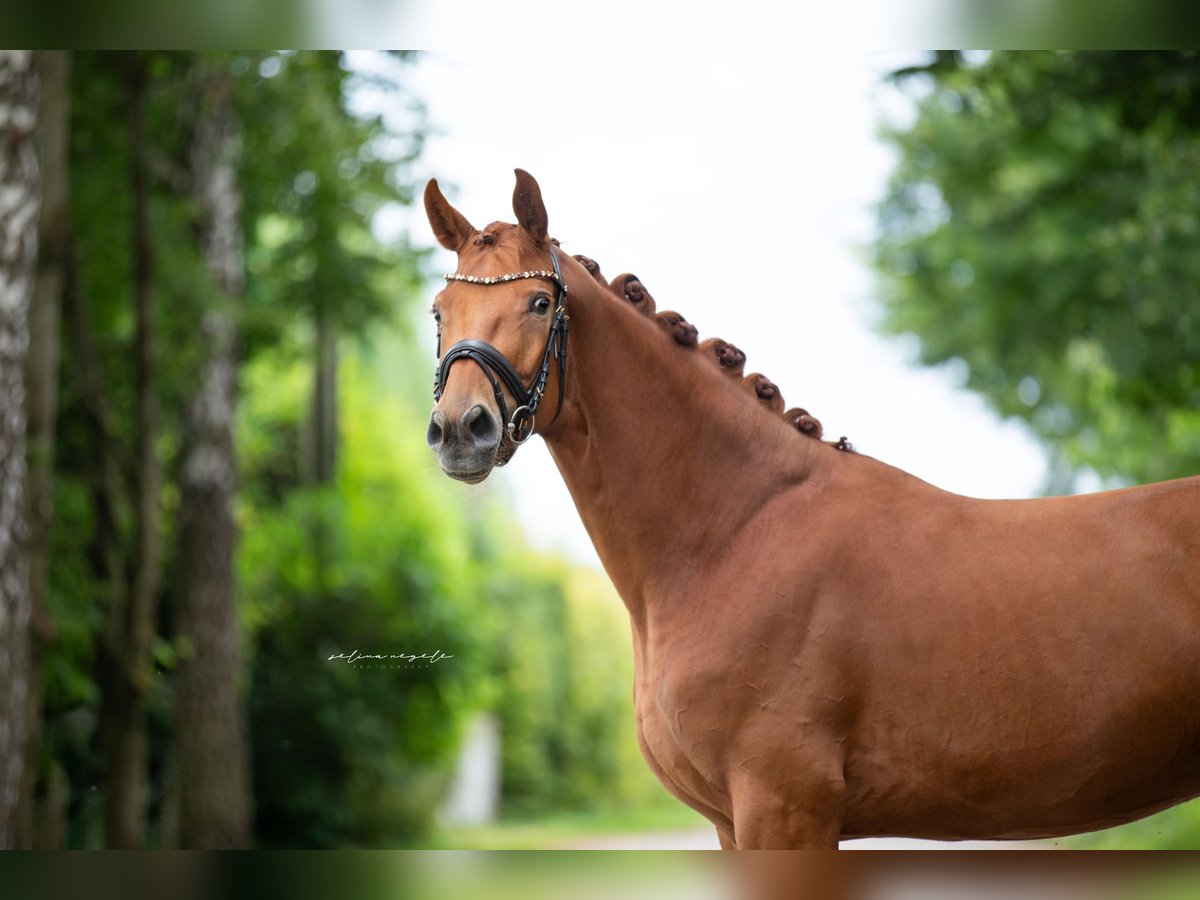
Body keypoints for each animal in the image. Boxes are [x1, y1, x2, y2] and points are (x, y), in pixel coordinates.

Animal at [422, 170, 1200, 854]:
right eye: (438, 312)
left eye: (539, 304)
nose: (461, 429)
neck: (737, 531)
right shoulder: (733, 824)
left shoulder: (784, 806)